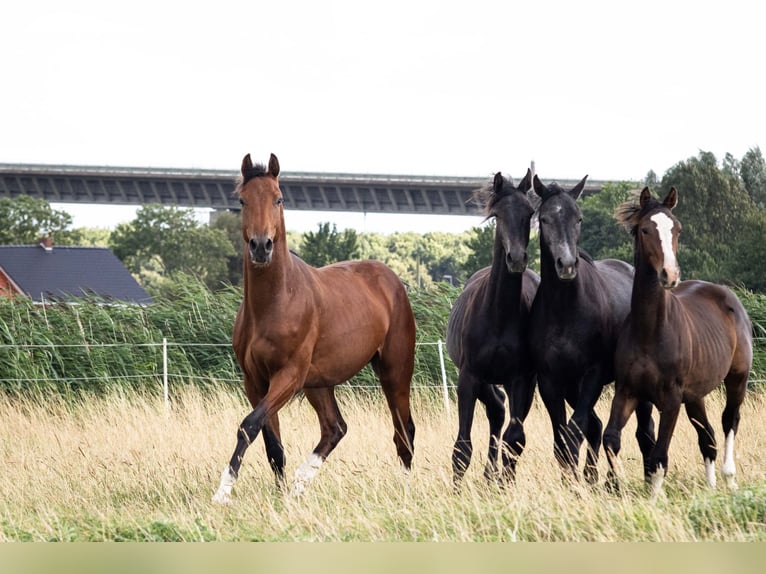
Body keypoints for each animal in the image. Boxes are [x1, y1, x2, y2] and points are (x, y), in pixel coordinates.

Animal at [212, 153, 416, 504]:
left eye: (278, 198)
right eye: (242, 200)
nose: (261, 246)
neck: (276, 303)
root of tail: (393, 281)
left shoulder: (288, 376)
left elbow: (250, 425)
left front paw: (222, 492)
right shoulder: (255, 381)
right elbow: (270, 441)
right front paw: (278, 493)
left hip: (394, 373)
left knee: (403, 431)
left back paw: (403, 492)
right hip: (319, 383)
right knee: (335, 427)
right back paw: (298, 485)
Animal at [446, 170, 540, 486]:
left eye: (530, 212)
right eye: (498, 214)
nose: (517, 258)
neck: (498, 315)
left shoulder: (521, 379)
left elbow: (516, 438)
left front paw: (503, 482)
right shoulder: (469, 376)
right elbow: (461, 447)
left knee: (501, 415)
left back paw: (492, 476)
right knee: (496, 409)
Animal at [528, 175, 656, 484]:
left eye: (579, 218)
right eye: (544, 219)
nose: (566, 265)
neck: (566, 312)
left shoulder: (593, 375)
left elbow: (574, 432)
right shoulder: (550, 381)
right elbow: (562, 439)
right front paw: (573, 482)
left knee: (644, 431)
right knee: (596, 426)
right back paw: (594, 477)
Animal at [603, 187, 752, 499]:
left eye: (677, 228)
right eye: (645, 229)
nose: (669, 275)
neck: (651, 330)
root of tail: (728, 297)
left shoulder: (670, 399)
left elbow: (659, 454)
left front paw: (654, 498)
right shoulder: (627, 392)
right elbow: (610, 438)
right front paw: (615, 484)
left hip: (737, 379)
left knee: (729, 421)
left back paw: (729, 478)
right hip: (695, 395)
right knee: (707, 435)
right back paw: (710, 488)